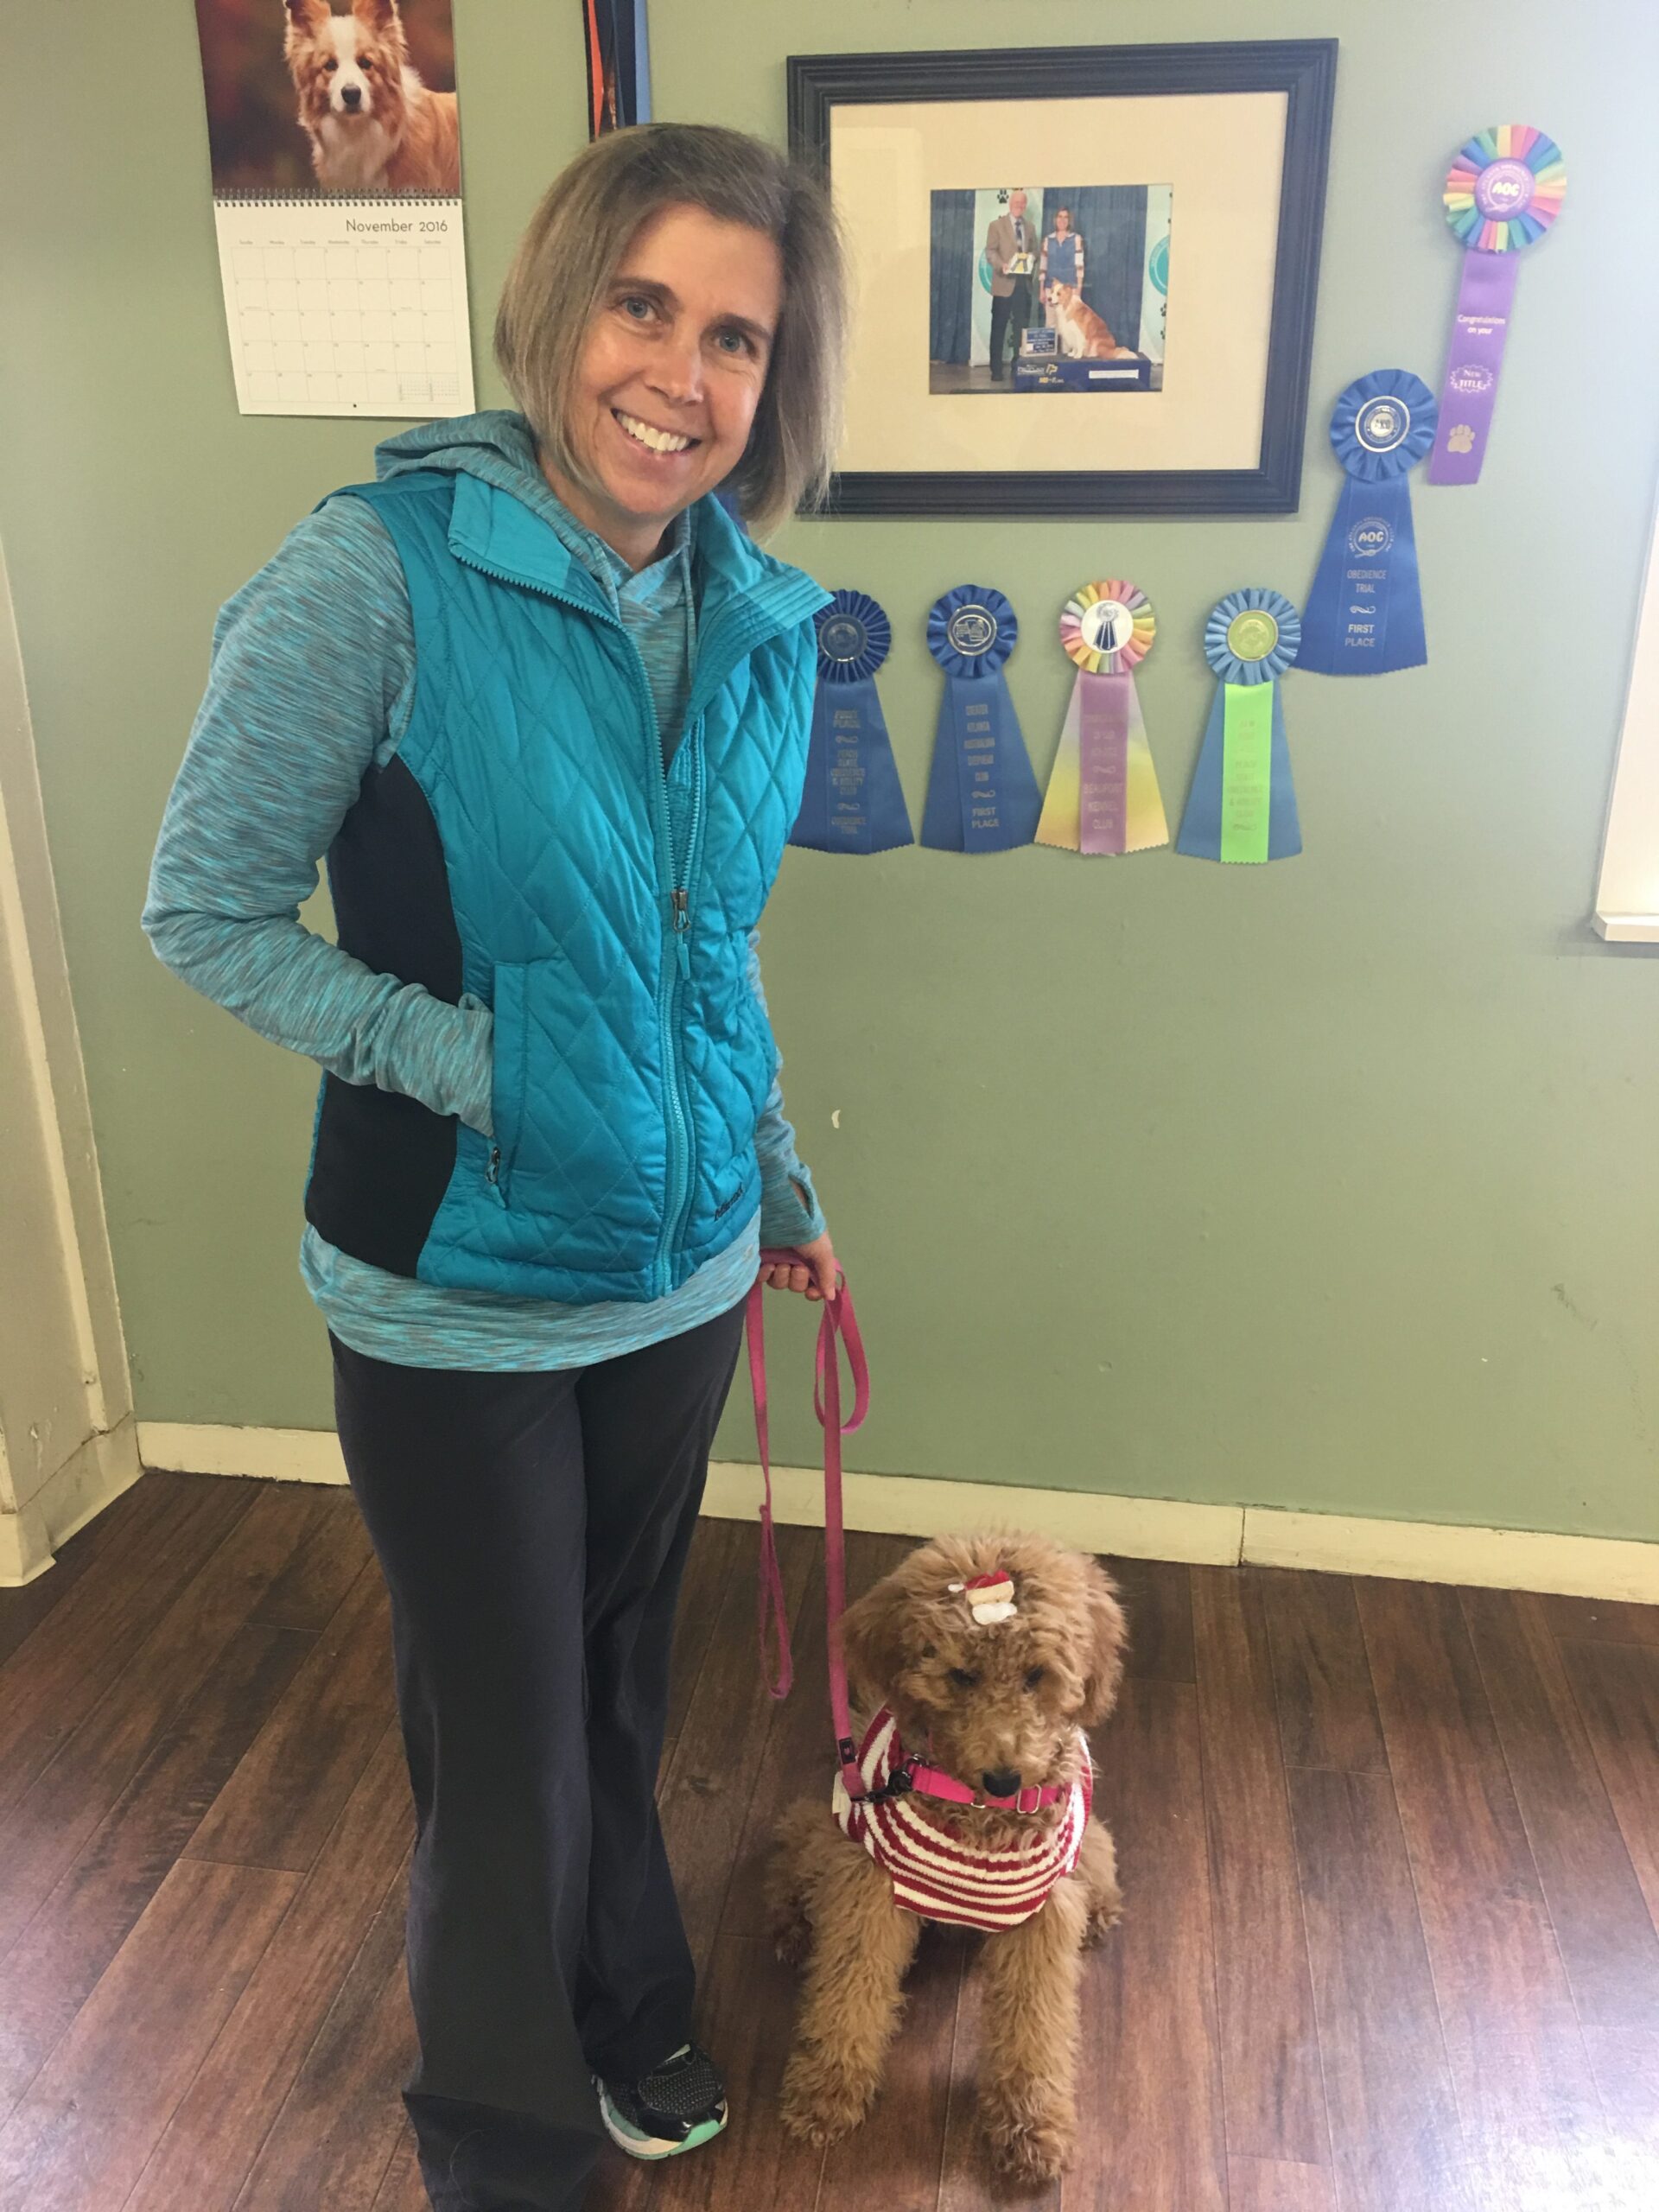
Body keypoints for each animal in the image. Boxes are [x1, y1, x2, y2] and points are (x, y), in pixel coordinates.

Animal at [765, 1530, 1132, 2185]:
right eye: (961, 1675)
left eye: (1036, 1675)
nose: (1004, 1777)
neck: (977, 1816)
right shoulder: (871, 1887)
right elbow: (847, 1993)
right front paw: (826, 2091)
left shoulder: (1040, 1916)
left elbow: (1035, 2025)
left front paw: (1031, 2126)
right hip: (840, 1822)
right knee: (796, 1834)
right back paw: (789, 1919)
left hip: (1084, 1853)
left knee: (1101, 1856)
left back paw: (1101, 1914)